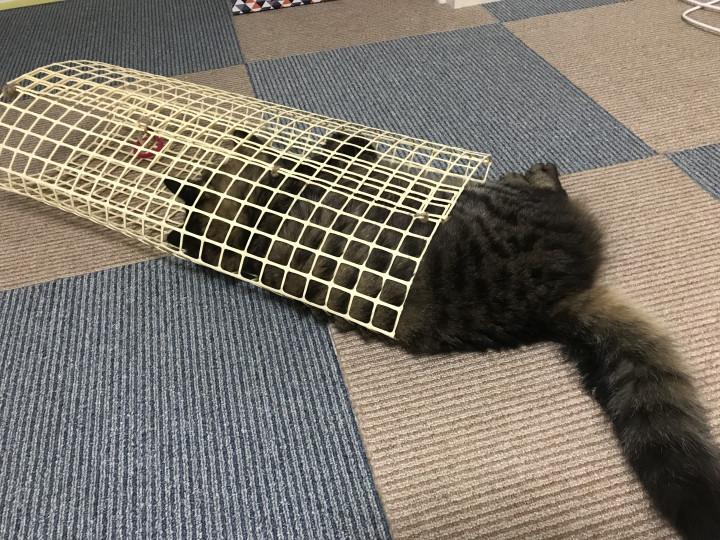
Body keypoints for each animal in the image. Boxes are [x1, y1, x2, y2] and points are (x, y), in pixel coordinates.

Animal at [164, 131, 720, 540]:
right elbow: (313, 162)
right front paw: (323, 146)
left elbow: (303, 160)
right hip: (494, 200)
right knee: (536, 189)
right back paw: (543, 175)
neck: (239, 232)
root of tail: (551, 304)